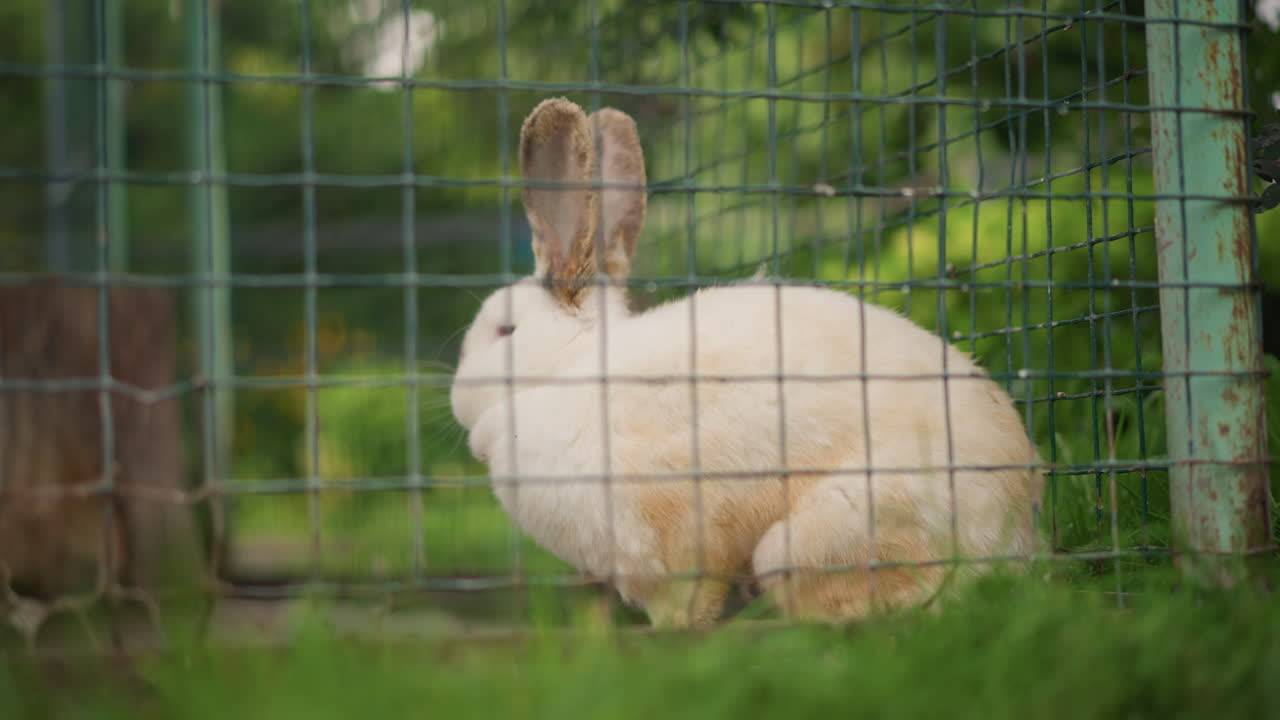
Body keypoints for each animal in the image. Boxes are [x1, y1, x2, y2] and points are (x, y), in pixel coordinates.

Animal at [450, 97, 1044, 628]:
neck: (569, 371)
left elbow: (688, 599)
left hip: (812, 541)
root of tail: (1018, 532)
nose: (456, 401)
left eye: (504, 331)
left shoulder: (676, 534)